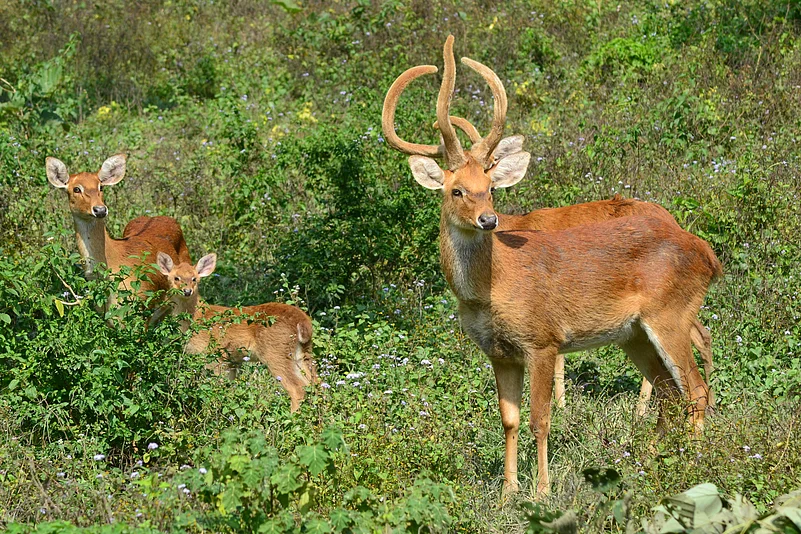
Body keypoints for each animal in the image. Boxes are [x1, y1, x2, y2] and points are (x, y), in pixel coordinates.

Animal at [155, 252, 317, 413]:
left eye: (194, 279)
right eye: (176, 278)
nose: (187, 291)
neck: (198, 317)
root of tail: (303, 321)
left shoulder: (215, 357)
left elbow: (215, 389)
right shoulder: (231, 361)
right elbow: (228, 390)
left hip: (275, 352)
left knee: (298, 389)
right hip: (303, 353)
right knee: (315, 384)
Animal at [433, 117, 714, 414]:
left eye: (490, 180)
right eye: (457, 188)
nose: (487, 217)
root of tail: (674, 221)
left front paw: (560, 405)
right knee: (702, 336)